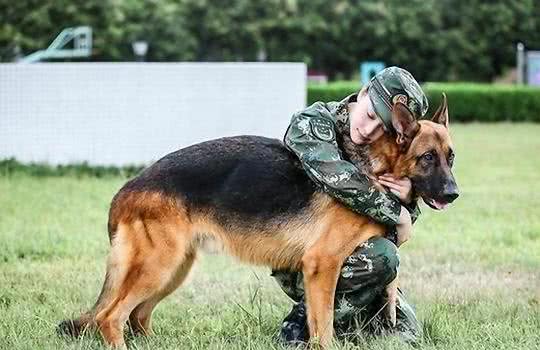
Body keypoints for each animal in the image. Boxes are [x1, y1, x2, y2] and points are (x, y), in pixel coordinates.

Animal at [58, 93, 456, 348]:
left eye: (450, 156)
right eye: (427, 158)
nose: (454, 193)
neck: (376, 168)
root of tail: (126, 189)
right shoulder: (323, 265)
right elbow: (324, 326)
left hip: (174, 269)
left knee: (138, 316)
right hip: (158, 267)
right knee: (111, 317)